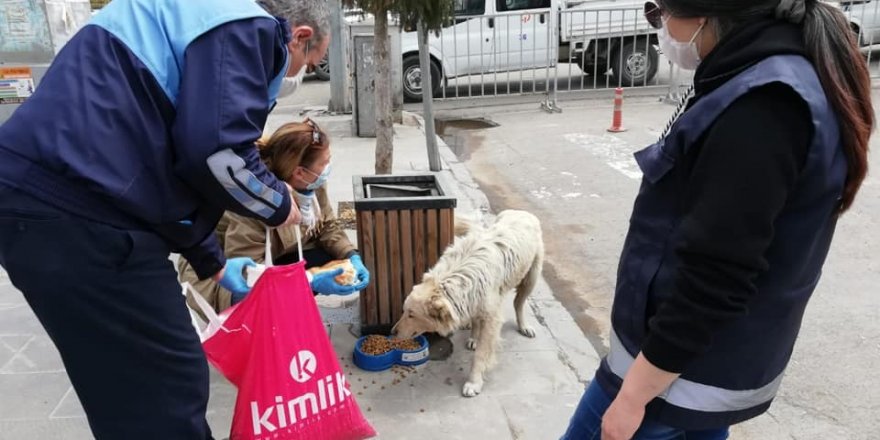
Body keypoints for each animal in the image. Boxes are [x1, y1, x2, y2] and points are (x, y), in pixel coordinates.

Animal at [392, 210, 544, 398]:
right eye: (404, 311)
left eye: (411, 314)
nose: (393, 332)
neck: (461, 277)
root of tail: (521, 211)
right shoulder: (473, 301)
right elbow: (476, 321)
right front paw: (473, 337)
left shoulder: (491, 319)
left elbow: (480, 355)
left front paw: (474, 382)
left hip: (531, 278)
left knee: (518, 303)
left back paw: (523, 326)